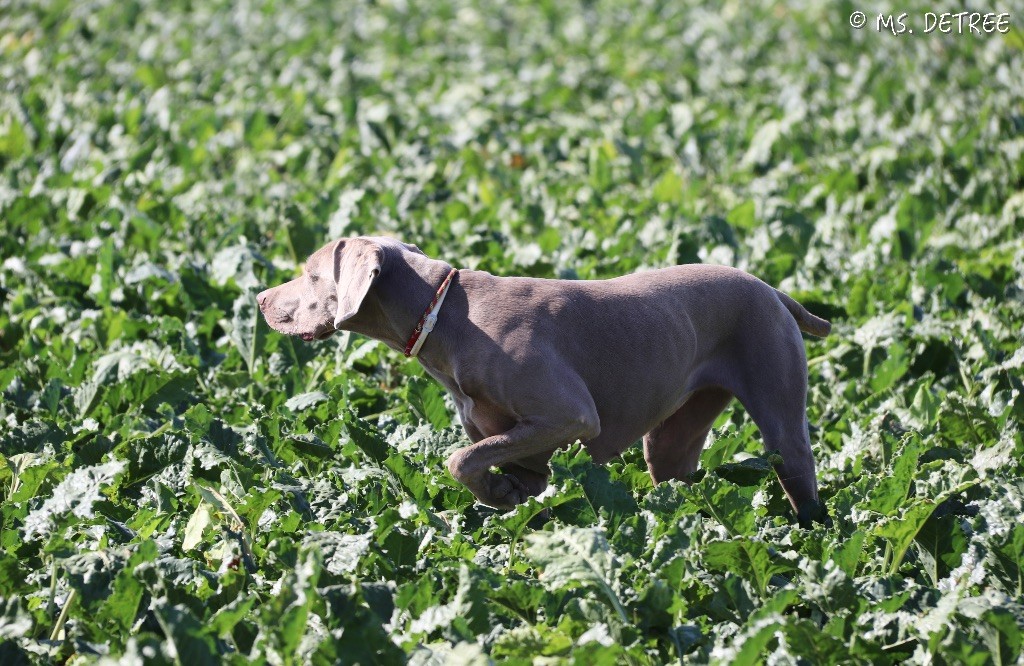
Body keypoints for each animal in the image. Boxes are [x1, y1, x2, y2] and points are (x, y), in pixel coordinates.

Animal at [256, 235, 831, 520]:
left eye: (310, 274)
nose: (259, 299)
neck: (444, 315)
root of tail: (773, 290)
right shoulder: (524, 444)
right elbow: (490, 464)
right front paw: (502, 494)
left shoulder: (571, 416)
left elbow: (458, 459)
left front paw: (493, 491)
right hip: (670, 440)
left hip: (781, 417)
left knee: (801, 478)